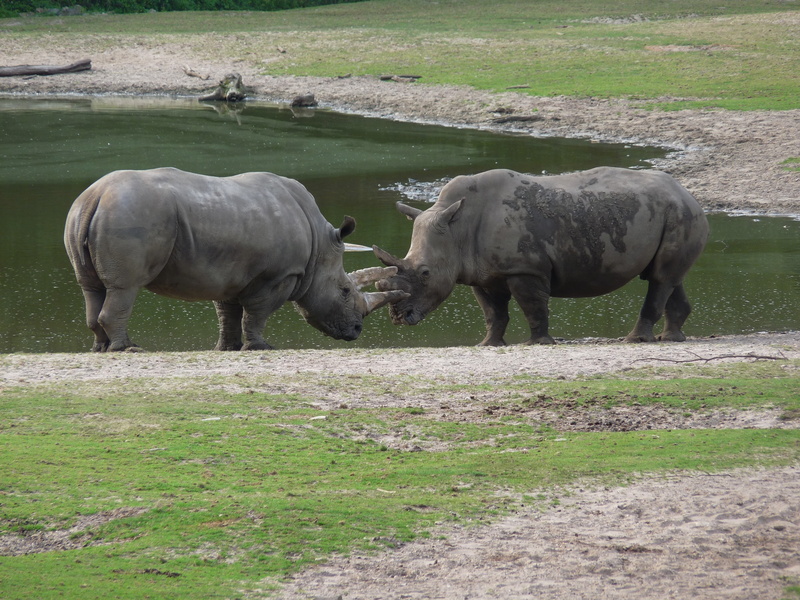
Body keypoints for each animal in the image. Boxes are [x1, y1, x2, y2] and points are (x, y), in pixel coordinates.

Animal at [64, 168, 406, 351]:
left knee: (91, 287)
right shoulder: (279, 275)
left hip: (82, 213)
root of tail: (95, 196)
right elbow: (256, 313)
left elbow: (228, 313)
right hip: (130, 214)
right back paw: (128, 349)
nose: (357, 330)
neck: (320, 249)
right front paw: (261, 347)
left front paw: (227, 348)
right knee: (125, 287)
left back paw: (101, 348)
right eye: (345, 291)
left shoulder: (228, 272)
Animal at [374, 167, 709, 345]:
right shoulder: (480, 273)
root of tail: (688, 192)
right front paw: (489, 344)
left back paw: (635, 340)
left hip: (680, 213)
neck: (457, 229)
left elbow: (533, 306)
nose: (399, 317)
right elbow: (493, 312)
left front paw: (538, 343)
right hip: (674, 213)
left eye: (425, 273)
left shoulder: (525, 268)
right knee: (667, 277)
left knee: (660, 278)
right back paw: (671, 338)